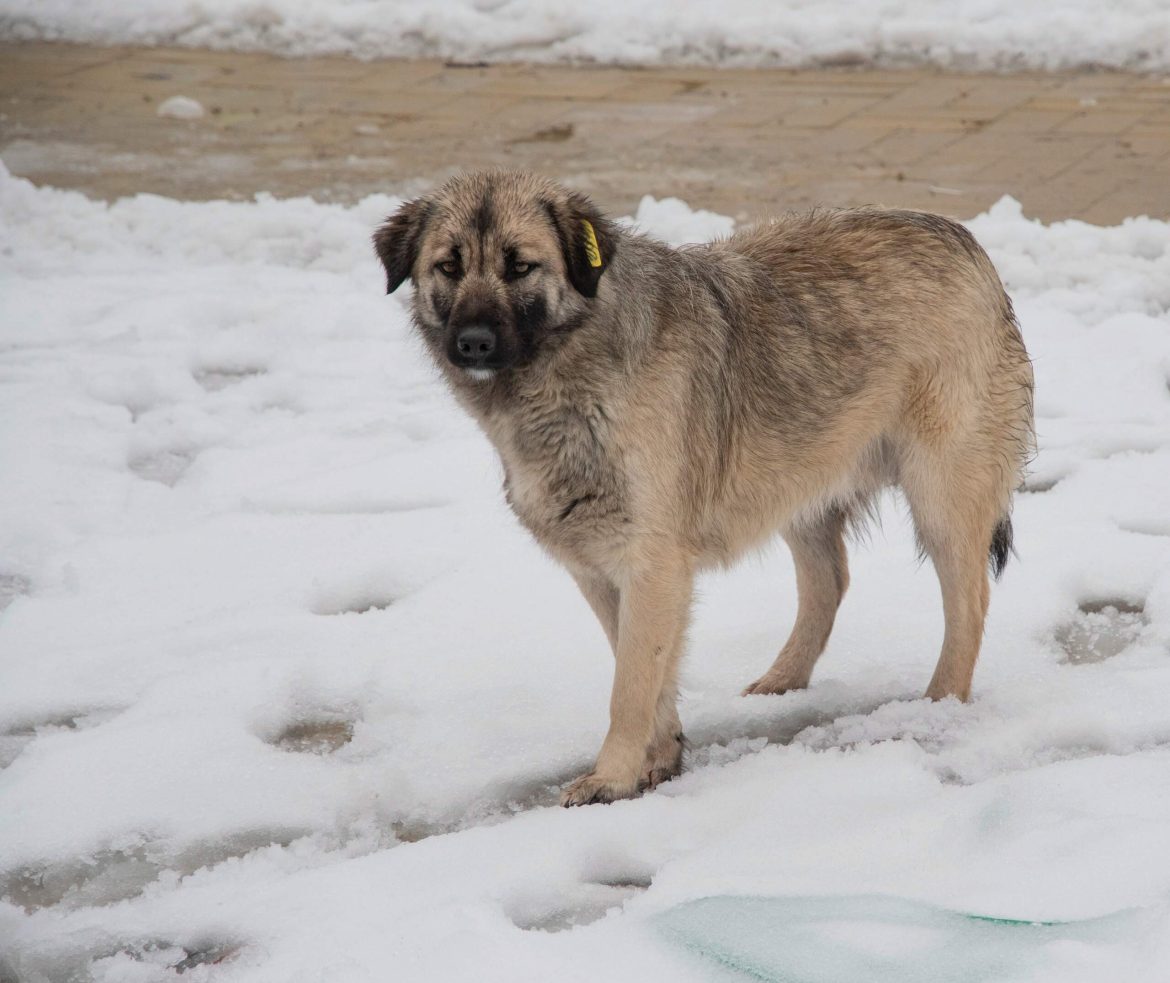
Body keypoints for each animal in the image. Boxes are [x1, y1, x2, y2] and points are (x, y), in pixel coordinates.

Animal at [372, 170, 1034, 805]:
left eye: (520, 266)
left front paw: (611, 778)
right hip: (799, 486)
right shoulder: (604, 570)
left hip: (941, 495)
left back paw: (941, 703)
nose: (473, 343)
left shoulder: (651, 565)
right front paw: (659, 759)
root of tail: (964, 240)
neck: (573, 374)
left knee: (968, 601)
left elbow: (630, 686)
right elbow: (645, 671)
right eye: (449, 266)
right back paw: (782, 682)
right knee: (829, 583)